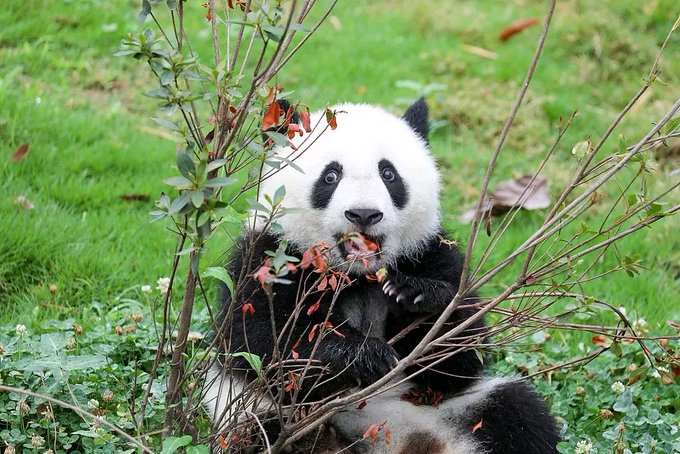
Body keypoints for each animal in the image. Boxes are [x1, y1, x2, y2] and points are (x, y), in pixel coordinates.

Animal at [203, 99, 560, 453]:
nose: (363, 214)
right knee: (263, 435)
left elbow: (461, 356)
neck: (359, 275)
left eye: (389, 174)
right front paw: (365, 355)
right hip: (260, 418)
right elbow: (264, 343)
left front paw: (417, 295)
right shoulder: (268, 258)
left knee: (518, 415)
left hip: (454, 412)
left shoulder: (432, 251)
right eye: (330, 176)